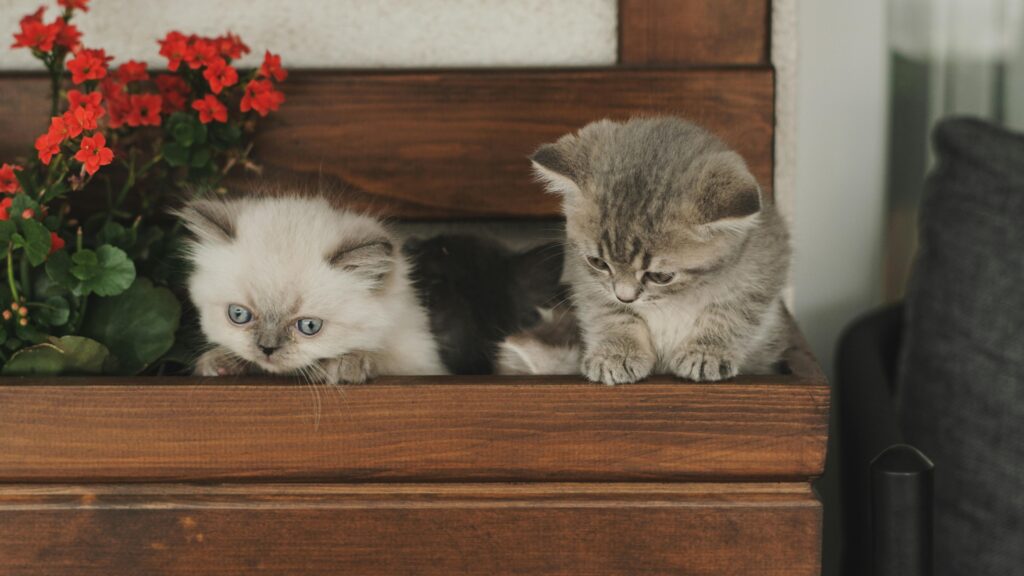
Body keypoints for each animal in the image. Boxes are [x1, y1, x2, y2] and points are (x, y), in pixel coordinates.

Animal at [175, 190, 444, 383]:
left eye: (309, 326)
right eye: (239, 315)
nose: (267, 349)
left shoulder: (425, 365)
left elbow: (385, 358)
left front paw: (343, 364)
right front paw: (217, 362)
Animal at [528, 117, 790, 383]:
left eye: (661, 276)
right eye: (598, 262)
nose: (625, 297)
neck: (676, 298)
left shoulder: (762, 266)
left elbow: (732, 313)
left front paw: (706, 352)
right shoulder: (587, 281)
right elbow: (609, 313)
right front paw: (617, 353)